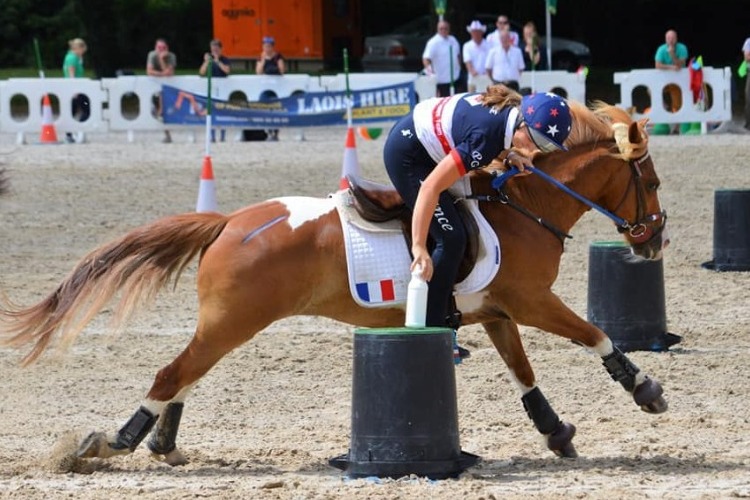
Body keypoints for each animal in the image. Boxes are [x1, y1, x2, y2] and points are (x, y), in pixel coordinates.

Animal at [0, 101, 669, 467]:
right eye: (654, 182)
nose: (654, 241)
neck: (527, 206)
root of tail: (228, 223)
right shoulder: (533, 301)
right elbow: (595, 334)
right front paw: (645, 389)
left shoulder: (500, 311)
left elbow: (524, 374)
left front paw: (555, 431)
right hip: (235, 321)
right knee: (172, 373)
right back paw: (115, 443)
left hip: (227, 325)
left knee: (185, 374)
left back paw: (162, 443)